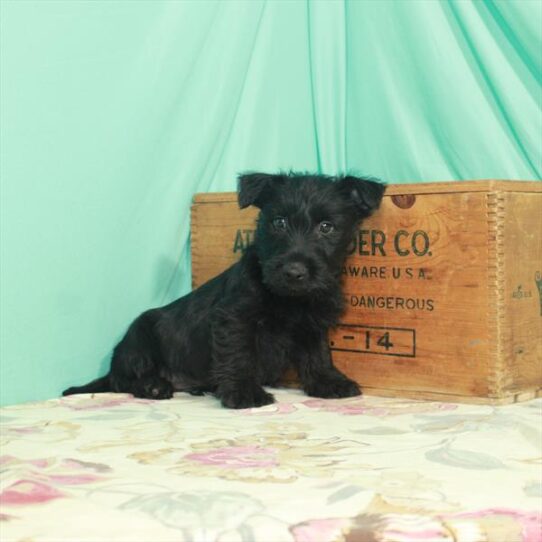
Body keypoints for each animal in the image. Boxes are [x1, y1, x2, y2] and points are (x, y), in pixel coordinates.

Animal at [63, 173, 386, 408]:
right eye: (279, 222)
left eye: (326, 226)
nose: (294, 272)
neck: (288, 298)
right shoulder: (235, 318)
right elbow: (239, 354)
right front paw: (244, 393)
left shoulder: (312, 323)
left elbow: (318, 355)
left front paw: (329, 383)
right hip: (139, 337)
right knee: (123, 379)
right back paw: (153, 385)